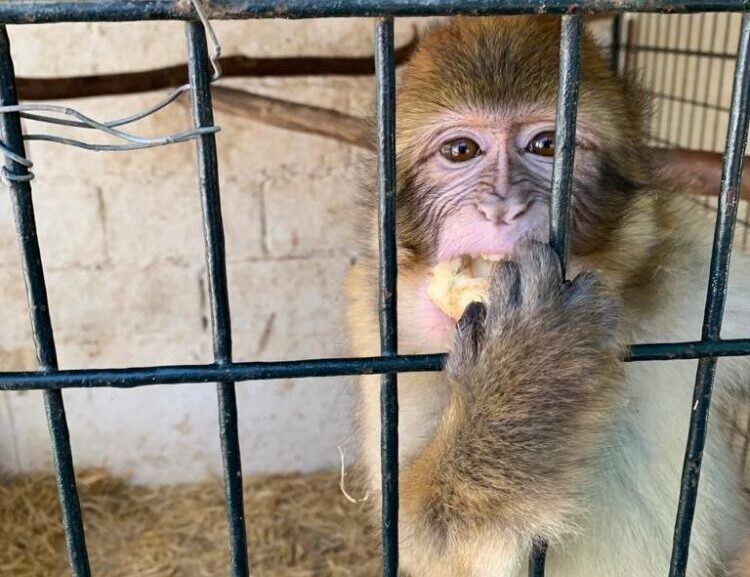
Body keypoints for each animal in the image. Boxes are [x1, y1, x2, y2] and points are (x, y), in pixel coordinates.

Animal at [345, 15, 750, 577]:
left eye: (547, 146)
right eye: (460, 151)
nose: (503, 207)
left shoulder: (691, 264)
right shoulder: (374, 321)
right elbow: (421, 535)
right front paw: (533, 363)